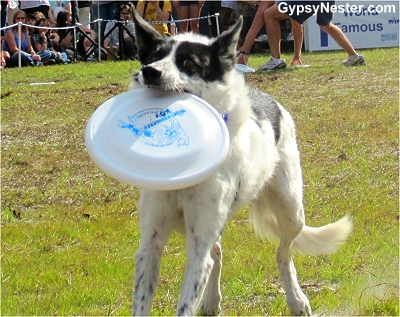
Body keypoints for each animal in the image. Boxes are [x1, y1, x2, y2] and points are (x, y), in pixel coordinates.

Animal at [130, 11, 352, 314]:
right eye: (153, 56)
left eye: (189, 63)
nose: (150, 72)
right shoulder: (151, 242)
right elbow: (143, 301)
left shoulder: (198, 244)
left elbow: (186, 302)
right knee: (219, 252)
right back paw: (212, 301)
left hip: (291, 209)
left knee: (283, 254)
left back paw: (297, 299)